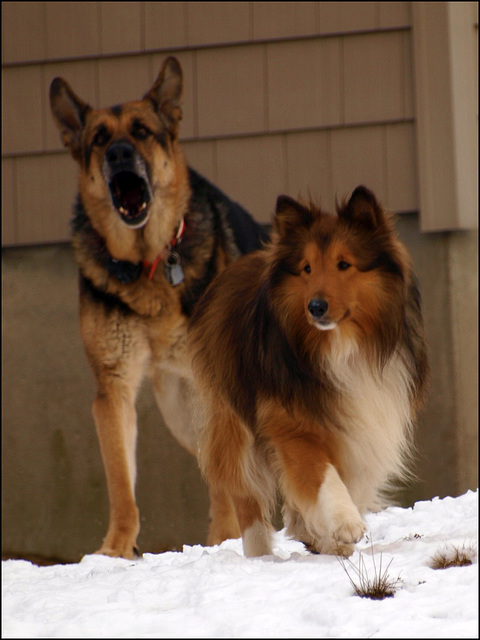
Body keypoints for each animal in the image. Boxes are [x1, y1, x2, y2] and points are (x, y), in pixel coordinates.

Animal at [50, 56, 268, 560]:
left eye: (142, 132)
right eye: (99, 139)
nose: (118, 155)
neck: (148, 264)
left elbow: (225, 481)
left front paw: (224, 538)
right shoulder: (113, 388)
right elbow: (120, 483)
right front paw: (115, 550)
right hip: (178, 412)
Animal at [188, 185, 428, 556]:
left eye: (344, 264)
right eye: (306, 268)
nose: (315, 307)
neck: (340, 347)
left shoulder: (364, 421)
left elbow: (344, 480)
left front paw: (328, 535)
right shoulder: (291, 424)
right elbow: (323, 475)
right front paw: (344, 522)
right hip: (231, 422)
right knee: (245, 493)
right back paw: (261, 555)